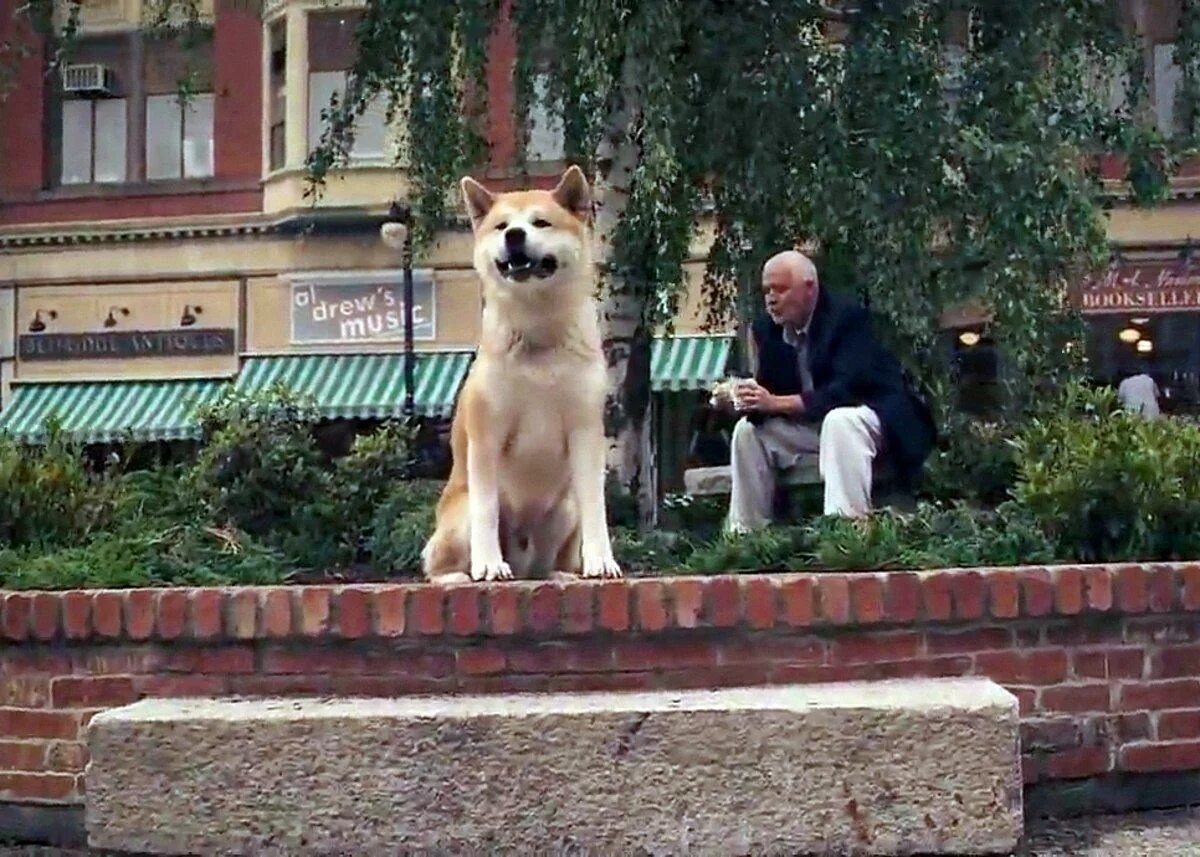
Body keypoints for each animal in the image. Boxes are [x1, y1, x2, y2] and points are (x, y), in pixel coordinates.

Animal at [405, 165, 624, 580]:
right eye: (501, 225)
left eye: (540, 222)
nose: (514, 235)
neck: (538, 334)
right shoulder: (486, 435)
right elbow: (487, 510)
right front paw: (489, 565)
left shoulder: (586, 431)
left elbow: (596, 506)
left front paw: (601, 560)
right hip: (458, 517)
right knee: (438, 564)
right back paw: (461, 574)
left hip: (562, 512)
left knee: (543, 564)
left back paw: (558, 573)